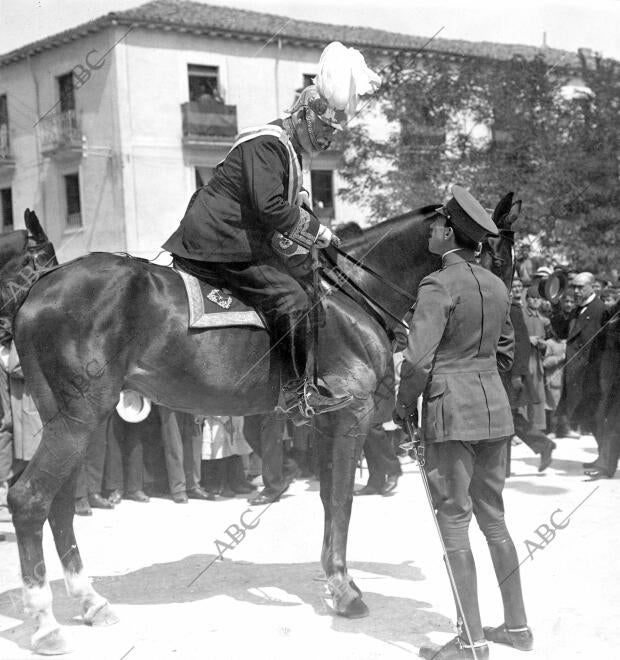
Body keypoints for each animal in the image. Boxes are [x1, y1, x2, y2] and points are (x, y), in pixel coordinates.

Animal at [1, 196, 520, 656]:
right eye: (499, 258)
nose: (506, 350)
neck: (349, 298)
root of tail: (40, 290)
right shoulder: (350, 417)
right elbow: (341, 500)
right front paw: (344, 590)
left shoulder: (328, 422)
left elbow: (331, 499)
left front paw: (336, 580)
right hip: (79, 418)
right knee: (29, 499)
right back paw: (46, 626)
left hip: (68, 420)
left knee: (59, 505)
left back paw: (90, 602)